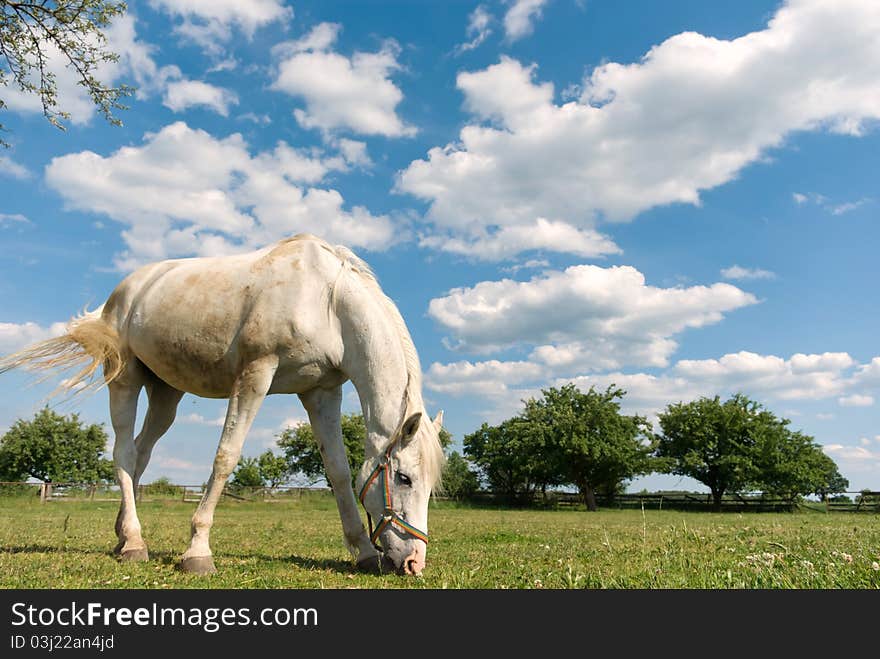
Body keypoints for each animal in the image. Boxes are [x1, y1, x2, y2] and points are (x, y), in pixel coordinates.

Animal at [1, 235, 446, 576]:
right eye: (404, 478)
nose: (414, 563)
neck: (326, 303)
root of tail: (124, 292)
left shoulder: (321, 392)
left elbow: (338, 471)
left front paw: (366, 553)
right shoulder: (255, 375)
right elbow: (225, 457)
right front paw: (198, 551)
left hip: (166, 394)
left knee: (141, 454)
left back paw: (123, 536)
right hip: (125, 378)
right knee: (124, 453)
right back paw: (135, 544)